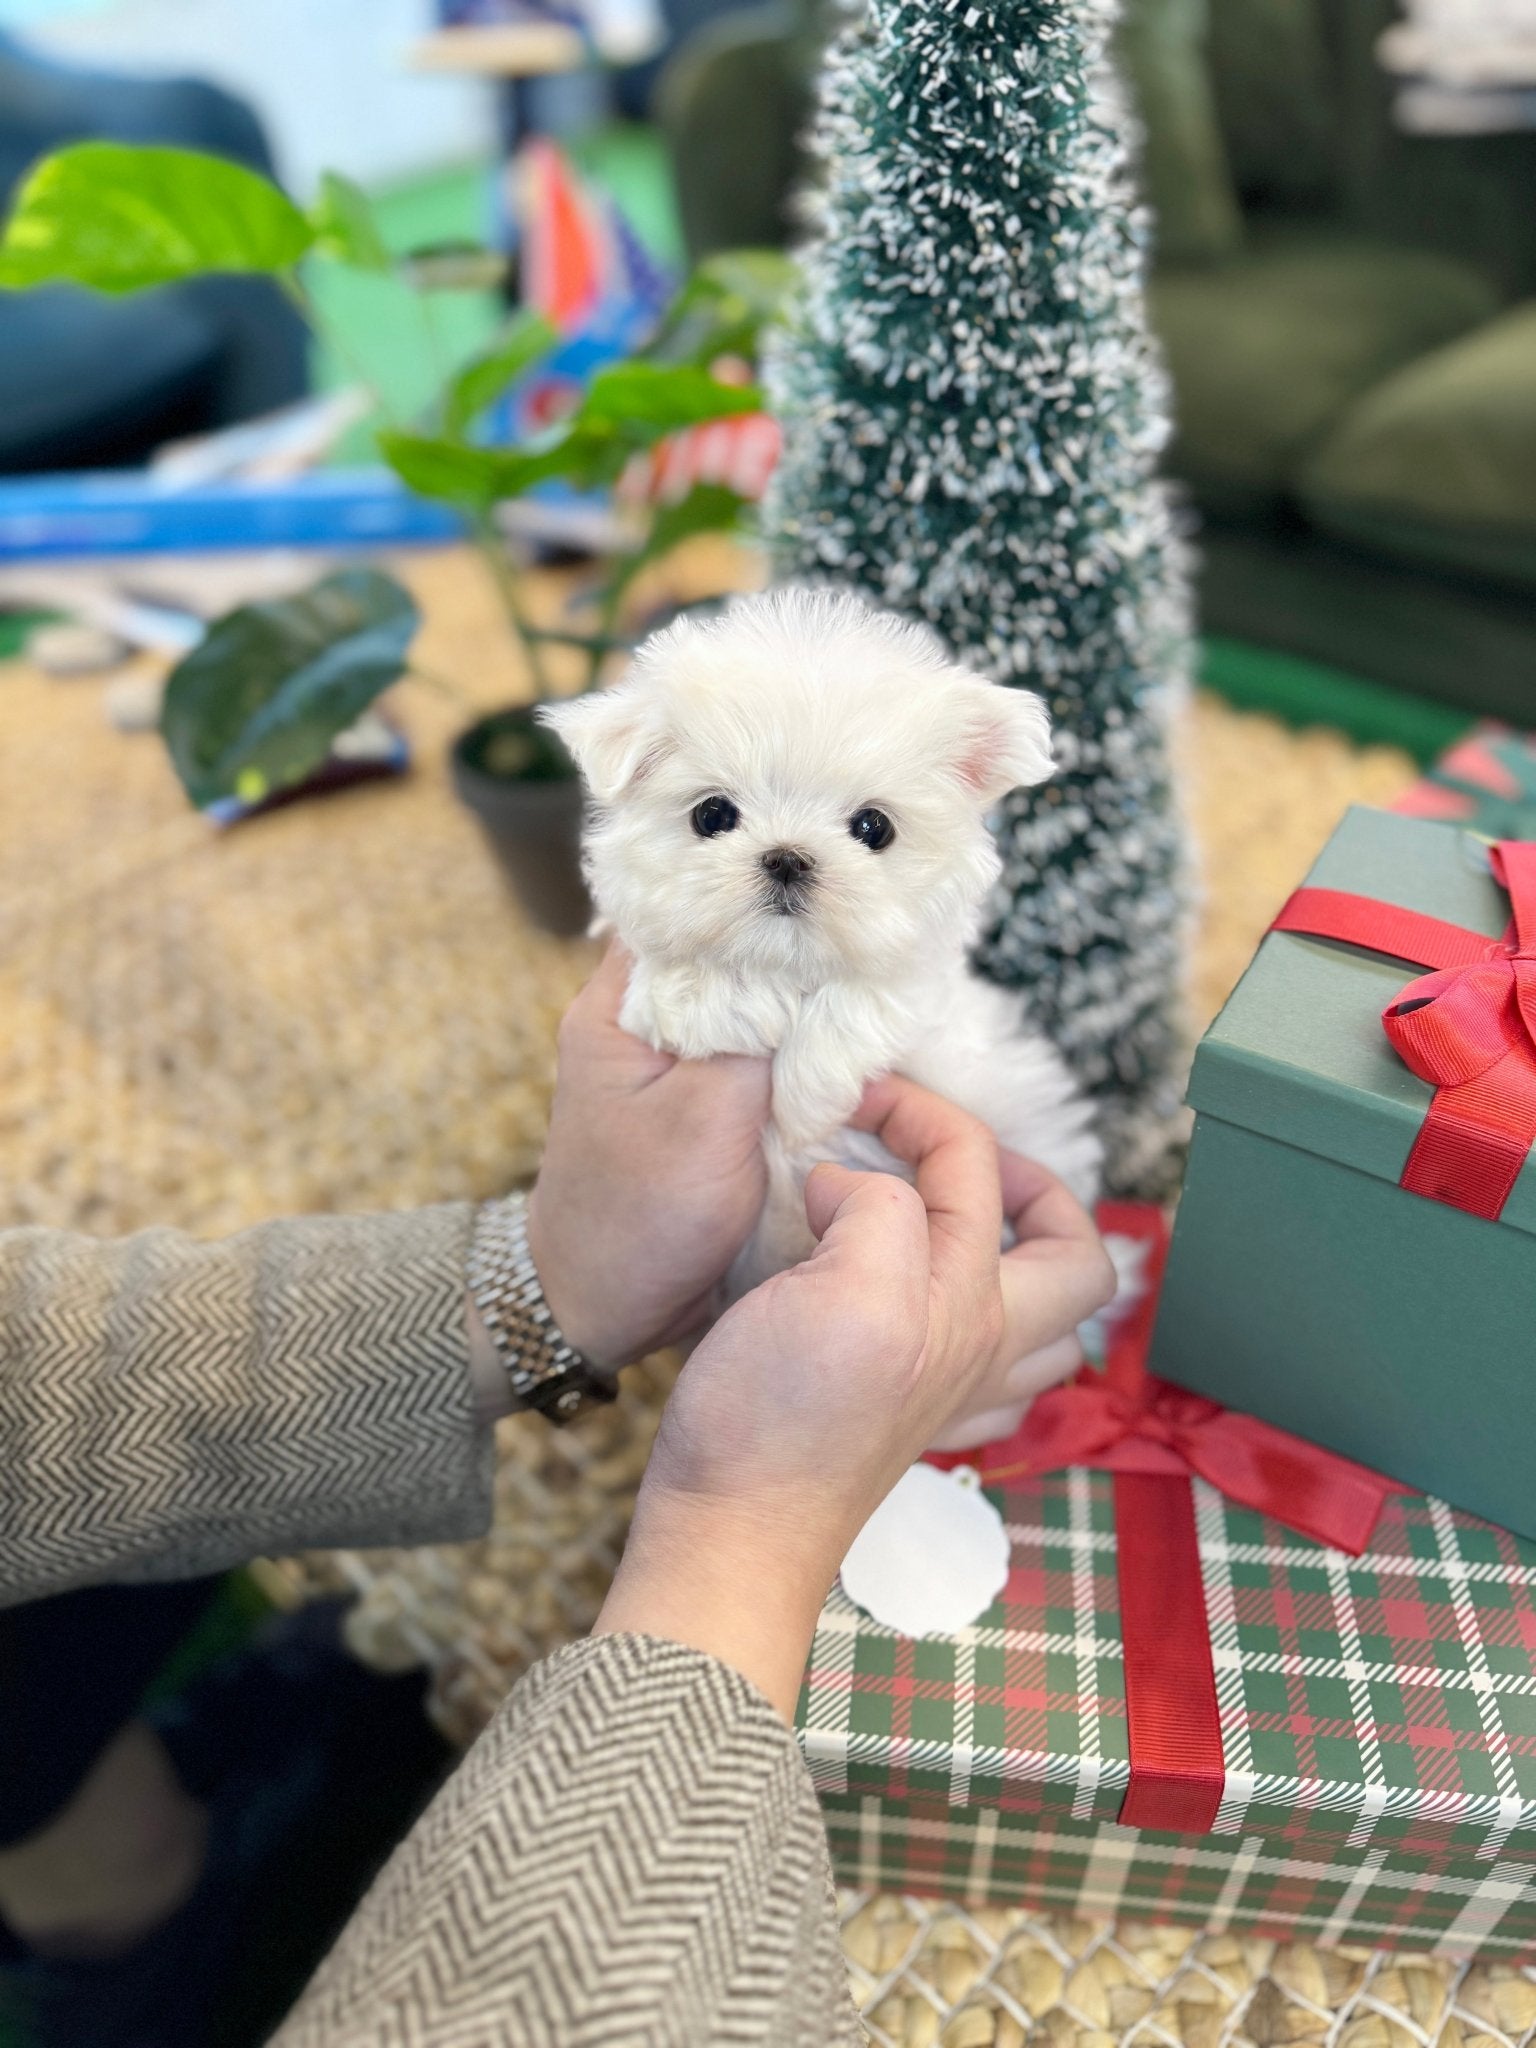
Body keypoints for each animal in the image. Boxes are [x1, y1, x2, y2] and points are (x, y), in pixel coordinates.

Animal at [548, 589, 1097, 1294]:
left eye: (873, 827)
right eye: (712, 815)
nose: (787, 858)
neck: (786, 964)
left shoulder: (924, 989)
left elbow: (866, 997)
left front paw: (806, 1102)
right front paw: (724, 998)